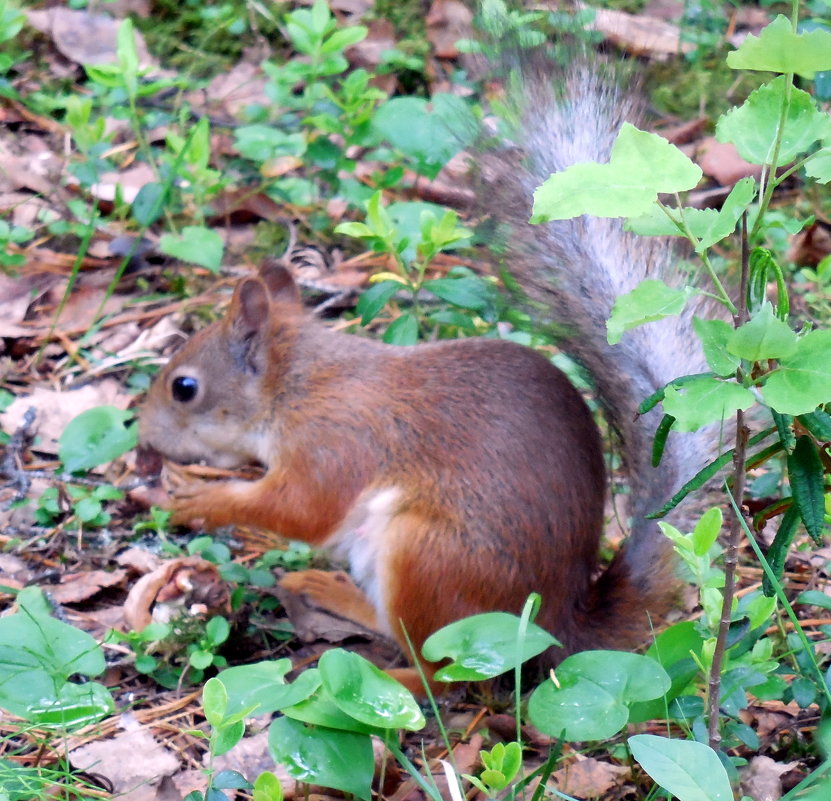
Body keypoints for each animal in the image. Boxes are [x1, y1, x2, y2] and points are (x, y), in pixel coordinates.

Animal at [138, 64, 720, 688]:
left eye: (184, 388)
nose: (144, 438)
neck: (294, 385)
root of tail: (557, 626)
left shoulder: (333, 443)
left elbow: (297, 510)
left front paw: (199, 499)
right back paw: (328, 590)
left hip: (427, 555)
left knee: (443, 672)